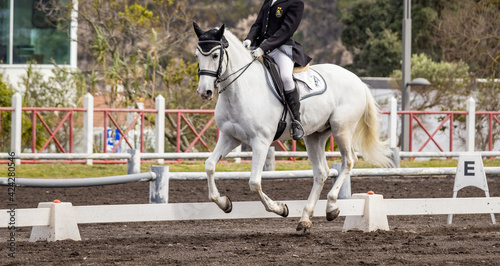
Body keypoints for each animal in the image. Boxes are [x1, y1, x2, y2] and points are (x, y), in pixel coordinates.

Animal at [193, 22, 392, 231]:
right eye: (197, 55)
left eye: (215, 55)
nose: (204, 92)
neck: (240, 89)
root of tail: (358, 81)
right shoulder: (229, 137)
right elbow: (209, 166)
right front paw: (224, 203)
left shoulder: (261, 142)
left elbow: (254, 183)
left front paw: (280, 208)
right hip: (315, 135)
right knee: (321, 172)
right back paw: (305, 218)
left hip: (342, 129)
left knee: (349, 161)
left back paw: (331, 207)